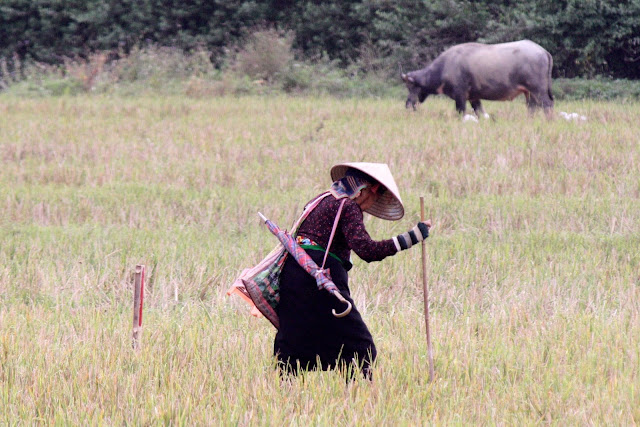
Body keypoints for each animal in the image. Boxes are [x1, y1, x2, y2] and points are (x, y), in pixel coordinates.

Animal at [402, 40, 552, 118]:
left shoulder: (460, 96)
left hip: (538, 90)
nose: (408, 105)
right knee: (532, 107)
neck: (444, 67)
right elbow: (480, 112)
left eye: (411, 86)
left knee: (547, 105)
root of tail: (543, 51)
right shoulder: (474, 97)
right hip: (529, 93)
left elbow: (461, 111)